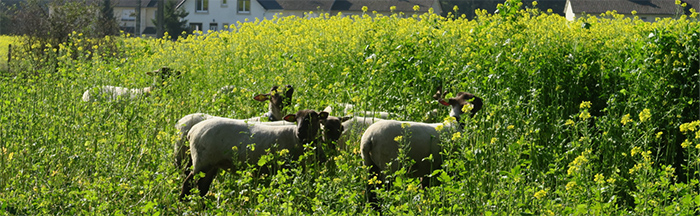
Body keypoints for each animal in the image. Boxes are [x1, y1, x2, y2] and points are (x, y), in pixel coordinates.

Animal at [182, 109, 332, 200]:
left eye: (312, 118)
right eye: (296, 119)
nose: (300, 132)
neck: (297, 139)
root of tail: (192, 131)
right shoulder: (288, 169)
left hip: (211, 164)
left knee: (202, 187)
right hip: (202, 162)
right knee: (188, 183)